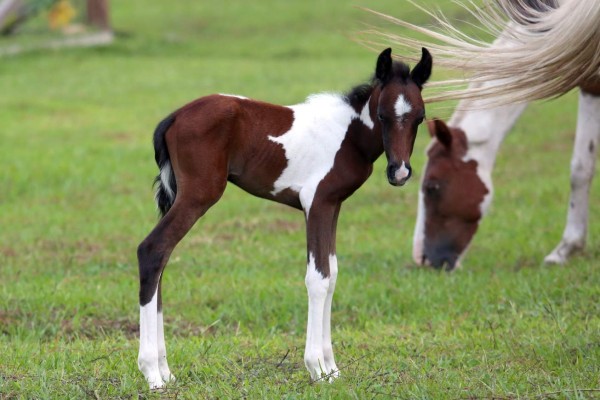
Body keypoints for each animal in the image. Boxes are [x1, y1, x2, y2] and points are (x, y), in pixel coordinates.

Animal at [136, 47, 432, 388]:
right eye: (382, 115)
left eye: (420, 117)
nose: (400, 172)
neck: (348, 135)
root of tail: (173, 117)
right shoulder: (316, 203)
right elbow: (318, 278)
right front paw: (317, 368)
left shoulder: (332, 205)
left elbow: (332, 275)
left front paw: (333, 369)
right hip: (198, 195)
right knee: (153, 249)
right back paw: (152, 372)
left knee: (163, 259)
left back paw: (166, 371)